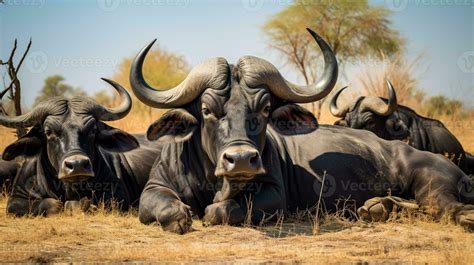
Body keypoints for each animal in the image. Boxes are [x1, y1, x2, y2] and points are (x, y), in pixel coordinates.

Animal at [0, 79, 161, 216]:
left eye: (93, 130)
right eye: (48, 132)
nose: (77, 165)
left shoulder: (117, 195)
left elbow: (79, 203)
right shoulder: (16, 198)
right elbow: (52, 204)